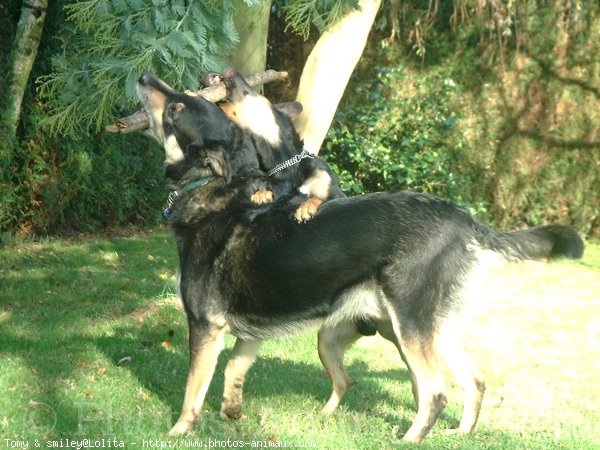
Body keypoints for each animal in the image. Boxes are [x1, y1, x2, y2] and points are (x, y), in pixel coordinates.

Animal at [137, 72, 584, 442]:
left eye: (177, 109)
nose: (144, 76)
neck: (211, 190)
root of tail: (464, 218)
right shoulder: (249, 333)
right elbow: (234, 371)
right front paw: (232, 414)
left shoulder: (205, 326)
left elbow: (192, 391)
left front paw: (178, 432)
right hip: (424, 331)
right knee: (471, 381)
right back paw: (459, 434)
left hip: (412, 328)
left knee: (435, 392)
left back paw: (410, 439)